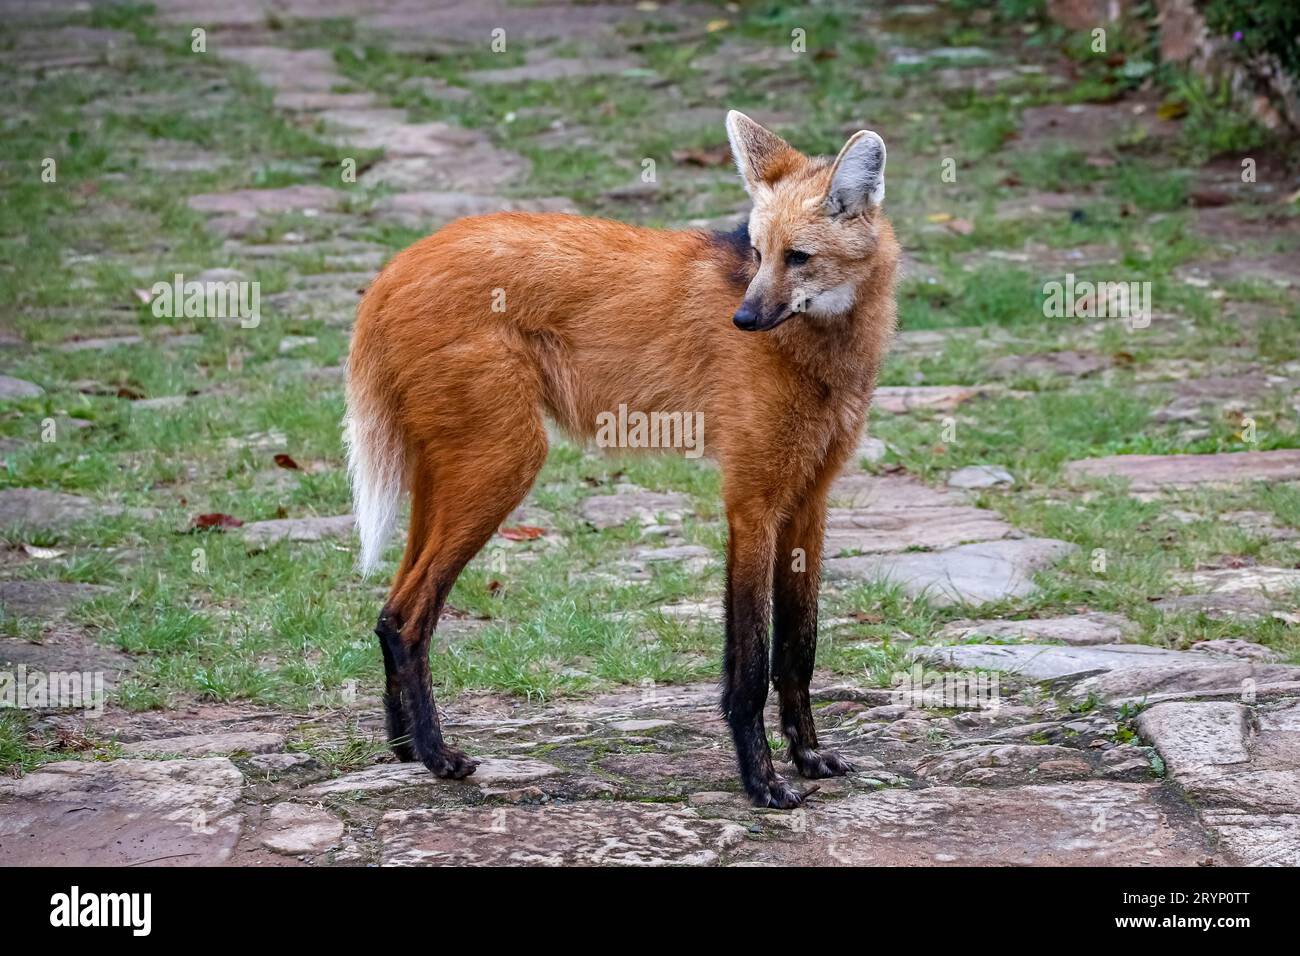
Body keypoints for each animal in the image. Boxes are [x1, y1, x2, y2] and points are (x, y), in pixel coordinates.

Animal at [343, 113, 894, 816]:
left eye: (796, 257)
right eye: (758, 253)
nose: (743, 318)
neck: (823, 348)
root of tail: (395, 267)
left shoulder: (808, 501)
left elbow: (799, 648)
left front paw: (809, 758)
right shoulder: (752, 501)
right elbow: (751, 661)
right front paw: (763, 783)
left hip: (452, 468)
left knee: (390, 609)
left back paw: (406, 748)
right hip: (506, 461)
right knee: (408, 617)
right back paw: (441, 758)